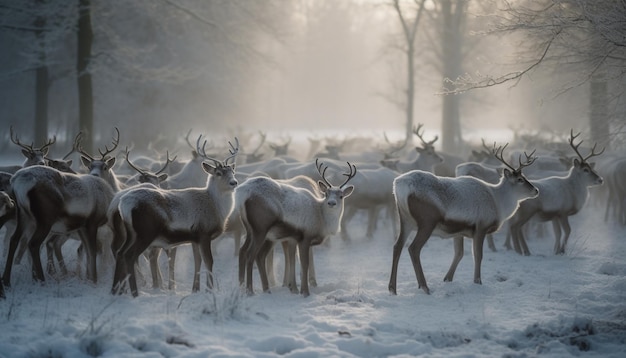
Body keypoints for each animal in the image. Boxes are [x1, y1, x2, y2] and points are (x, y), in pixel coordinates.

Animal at [111, 137, 240, 296]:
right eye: (218, 173)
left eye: (232, 171)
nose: (234, 182)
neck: (216, 207)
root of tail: (123, 203)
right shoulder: (204, 233)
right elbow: (209, 261)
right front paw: (210, 290)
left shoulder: (195, 238)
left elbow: (198, 262)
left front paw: (195, 289)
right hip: (145, 232)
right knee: (130, 255)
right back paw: (135, 293)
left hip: (131, 233)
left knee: (120, 252)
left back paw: (115, 290)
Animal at [238, 159, 356, 296]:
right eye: (326, 194)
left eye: (341, 196)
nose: (331, 203)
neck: (321, 216)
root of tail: (243, 193)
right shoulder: (305, 238)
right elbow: (304, 264)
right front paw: (305, 292)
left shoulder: (293, 239)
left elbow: (292, 261)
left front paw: (293, 288)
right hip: (260, 231)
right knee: (251, 255)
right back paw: (250, 291)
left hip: (251, 231)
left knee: (244, 251)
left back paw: (248, 287)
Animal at [386, 144, 536, 296]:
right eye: (520, 179)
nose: (536, 190)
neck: (498, 202)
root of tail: (399, 185)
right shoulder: (481, 227)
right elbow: (478, 255)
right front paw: (478, 282)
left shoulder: (458, 231)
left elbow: (459, 253)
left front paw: (447, 278)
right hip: (427, 222)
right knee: (414, 248)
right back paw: (424, 287)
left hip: (405, 220)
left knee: (397, 246)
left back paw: (393, 288)